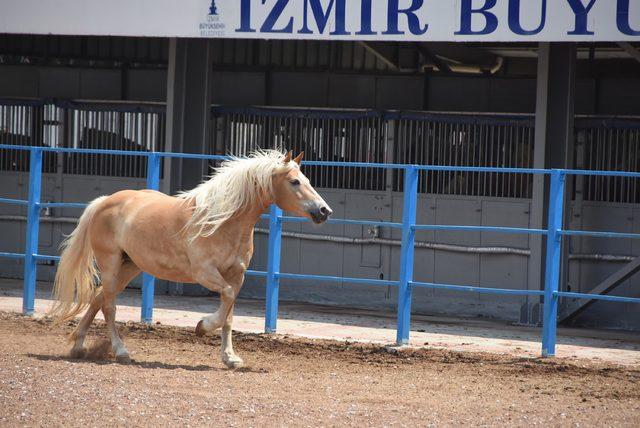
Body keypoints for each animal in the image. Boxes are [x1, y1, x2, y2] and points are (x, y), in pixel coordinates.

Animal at [47, 150, 332, 368]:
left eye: (306, 179)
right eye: (294, 182)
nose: (324, 211)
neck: (222, 221)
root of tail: (105, 201)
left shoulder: (236, 275)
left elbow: (229, 314)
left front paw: (230, 358)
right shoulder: (205, 273)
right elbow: (226, 301)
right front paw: (202, 326)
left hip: (130, 266)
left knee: (97, 299)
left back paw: (78, 347)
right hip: (111, 264)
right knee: (109, 306)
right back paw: (121, 351)